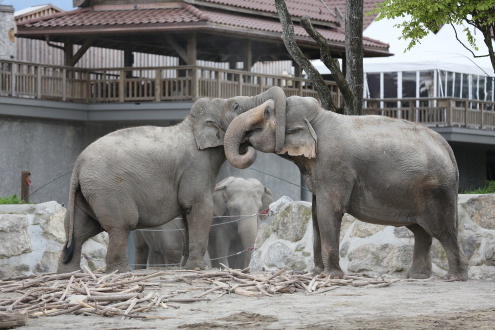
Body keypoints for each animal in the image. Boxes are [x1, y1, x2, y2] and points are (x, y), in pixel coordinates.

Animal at [135, 177, 276, 270]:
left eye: (259, 209)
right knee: (171, 249)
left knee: (147, 248)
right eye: (235, 209)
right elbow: (221, 245)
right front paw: (224, 268)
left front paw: (238, 269)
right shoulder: (218, 222)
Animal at [224, 95, 468, 282]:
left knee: (443, 230)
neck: (318, 117)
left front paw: (331, 276)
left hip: (438, 191)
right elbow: (315, 214)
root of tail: (448, 148)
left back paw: (455, 277)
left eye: (266, 112)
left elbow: (328, 211)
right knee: (421, 231)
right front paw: (317, 273)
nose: (245, 144)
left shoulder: (333, 165)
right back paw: (416, 276)